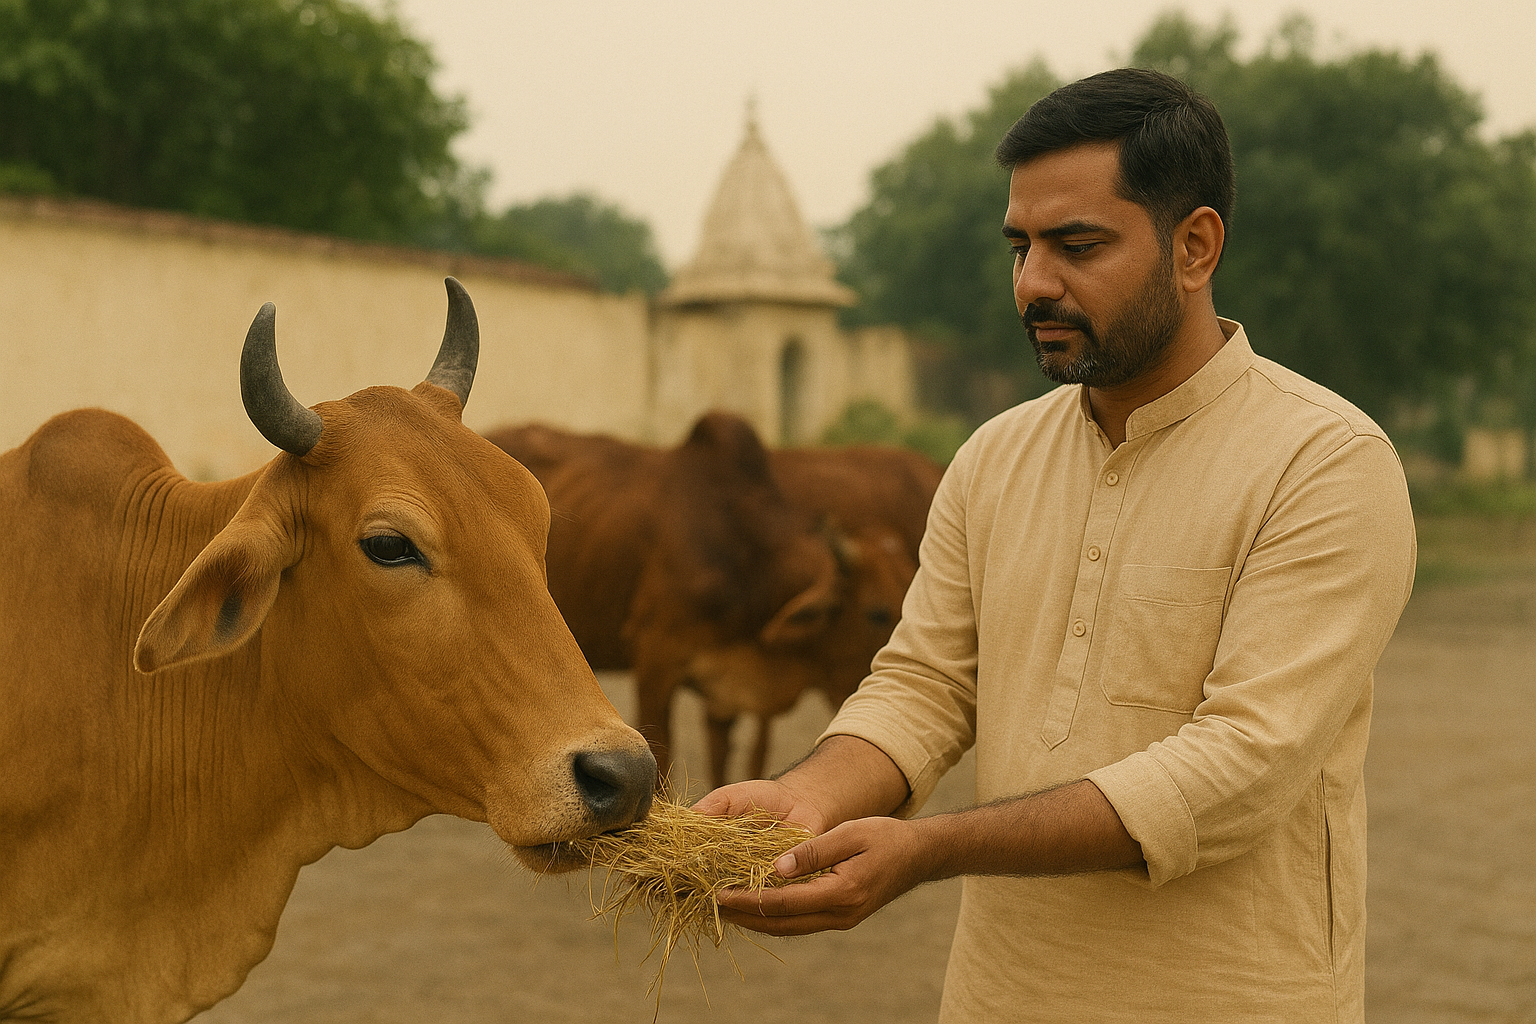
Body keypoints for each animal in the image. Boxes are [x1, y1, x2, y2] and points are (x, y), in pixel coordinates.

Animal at [484, 418, 941, 787]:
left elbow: (725, 766)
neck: (743, 557)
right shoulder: (655, 661)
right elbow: (661, 767)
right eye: (877, 612)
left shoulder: (725, 692)